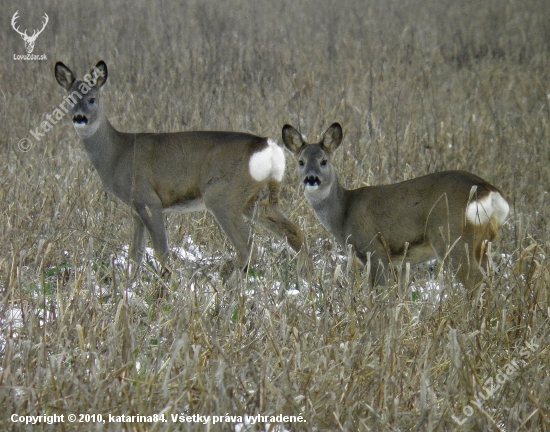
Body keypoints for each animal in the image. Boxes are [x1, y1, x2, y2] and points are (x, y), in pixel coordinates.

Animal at [55, 60, 306, 274]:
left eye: (92, 99)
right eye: (69, 100)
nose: (80, 117)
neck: (118, 153)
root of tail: (268, 146)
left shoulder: (149, 199)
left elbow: (161, 251)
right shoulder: (135, 208)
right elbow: (135, 254)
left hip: (223, 196)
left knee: (247, 247)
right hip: (254, 200)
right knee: (294, 233)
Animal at [284, 122, 512, 290]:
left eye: (324, 161)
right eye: (301, 161)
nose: (311, 179)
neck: (343, 213)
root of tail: (488, 191)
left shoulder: (374, 249)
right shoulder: (401, 263)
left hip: (452, 238)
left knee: (476, 281)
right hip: (482, 243)